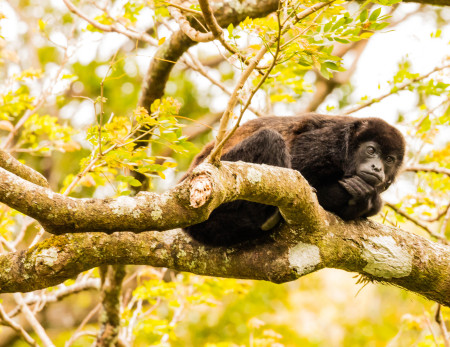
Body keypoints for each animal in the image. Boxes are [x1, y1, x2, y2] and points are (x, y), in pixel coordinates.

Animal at [182, 114, 404, 247]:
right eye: (371, 150)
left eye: (389, 159)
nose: (377, 167)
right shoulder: (327, 144)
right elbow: (299, 173)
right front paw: (362, 197)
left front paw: (366, 200)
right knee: (269, 138)